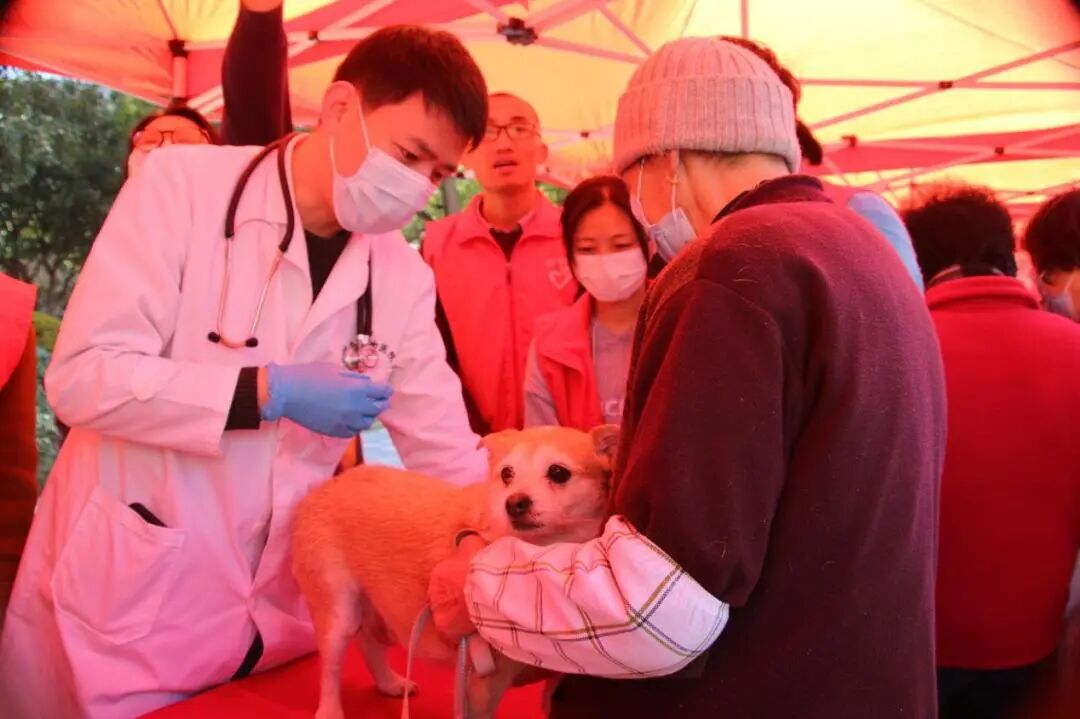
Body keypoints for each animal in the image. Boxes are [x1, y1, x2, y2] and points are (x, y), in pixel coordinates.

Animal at [292, 424, 619, 719]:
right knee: (332, 667)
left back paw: (389, 683)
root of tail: (329, 485)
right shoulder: (479, 683)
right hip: (340, 612)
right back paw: (330, 711)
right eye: (506, 474)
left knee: (369, 645)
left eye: (558, 473)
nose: (514, 502)